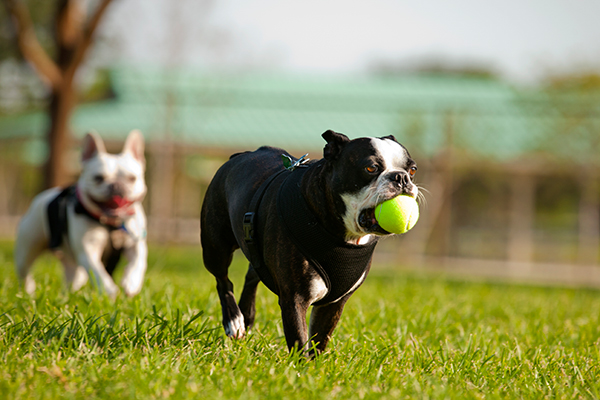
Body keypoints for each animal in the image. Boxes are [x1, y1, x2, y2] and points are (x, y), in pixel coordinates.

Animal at [14, 130, 148, 296]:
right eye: (98, 178)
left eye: (132, 178)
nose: (116, 185)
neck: (111, 223)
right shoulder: (88, 251)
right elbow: (98, 273)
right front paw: (109, 292)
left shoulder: (136, 244)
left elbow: (138, 262)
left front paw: (131, 282)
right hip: (28, 247)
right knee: (25, 271)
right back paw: (28, 292)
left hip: (72, 262)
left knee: (73, 277)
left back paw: (69, 294)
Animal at [200, 130, 418, 352]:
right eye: (371, 168)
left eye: (413, 170)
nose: (401, 177)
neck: (346, 237)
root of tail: (239, 155)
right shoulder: (294, 299)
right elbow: (299, 340)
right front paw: (299, 362)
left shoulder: (333, 305)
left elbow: (319, 341)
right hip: (216, 246)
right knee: (223, 280)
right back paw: (234, 320)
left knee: (253, 271)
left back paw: (246, 315)